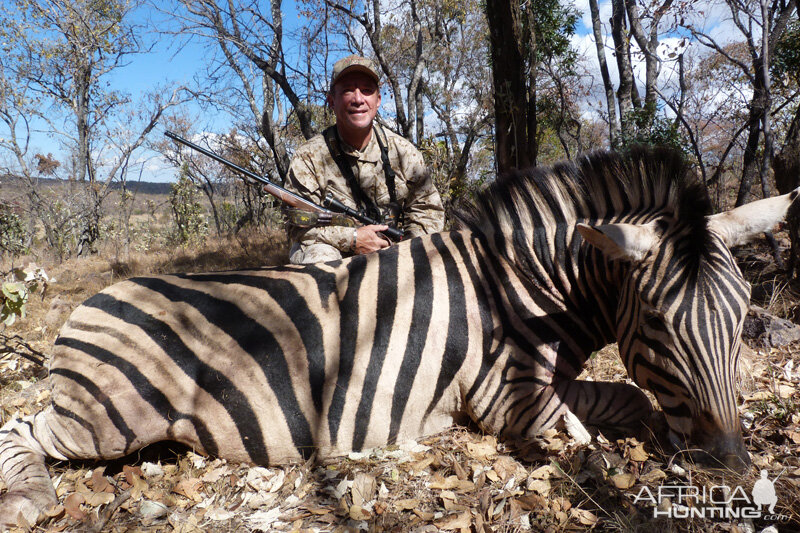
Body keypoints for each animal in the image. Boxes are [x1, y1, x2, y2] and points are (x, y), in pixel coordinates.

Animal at [0, 148, 792, 524]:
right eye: (656, 320)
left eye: (742, 314)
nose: (731, 468)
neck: (522, 284)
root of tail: (85, 304)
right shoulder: (508, 400)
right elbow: (613, 410)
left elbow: (631, 401)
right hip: (111, 417)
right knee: (22, 427)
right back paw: (29, 499)